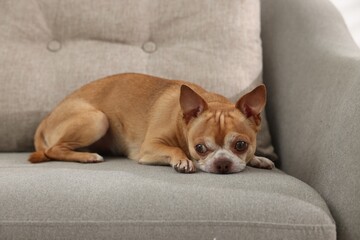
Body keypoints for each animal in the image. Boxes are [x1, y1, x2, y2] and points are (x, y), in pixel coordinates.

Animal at [28, 72, 276, 173]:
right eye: (199, 148)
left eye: (241, 145)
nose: (223, 163)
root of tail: (46, 119)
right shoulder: (149, 148)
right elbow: (175, 149)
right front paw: (183, 160)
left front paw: (258, 159)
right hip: (98, 119)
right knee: (53, 150)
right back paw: (87, 157)